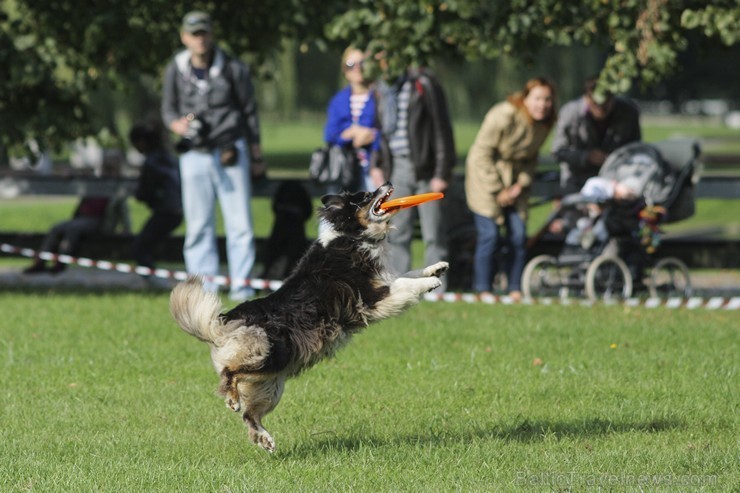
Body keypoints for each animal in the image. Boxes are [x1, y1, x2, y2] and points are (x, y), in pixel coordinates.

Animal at [171, 183, 448, 452]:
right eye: (366, 196)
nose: (387, 183)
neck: (354, 235)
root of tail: (223, 323)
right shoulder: (375, 297)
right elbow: (406, 284)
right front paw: (431, 282)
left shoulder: (384, 283)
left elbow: (409, 273)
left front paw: (437, 268)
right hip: (270, 354)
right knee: (230, 372)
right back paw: (232, 399)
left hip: (270, 382)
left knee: (250, 415)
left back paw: (265, 439)